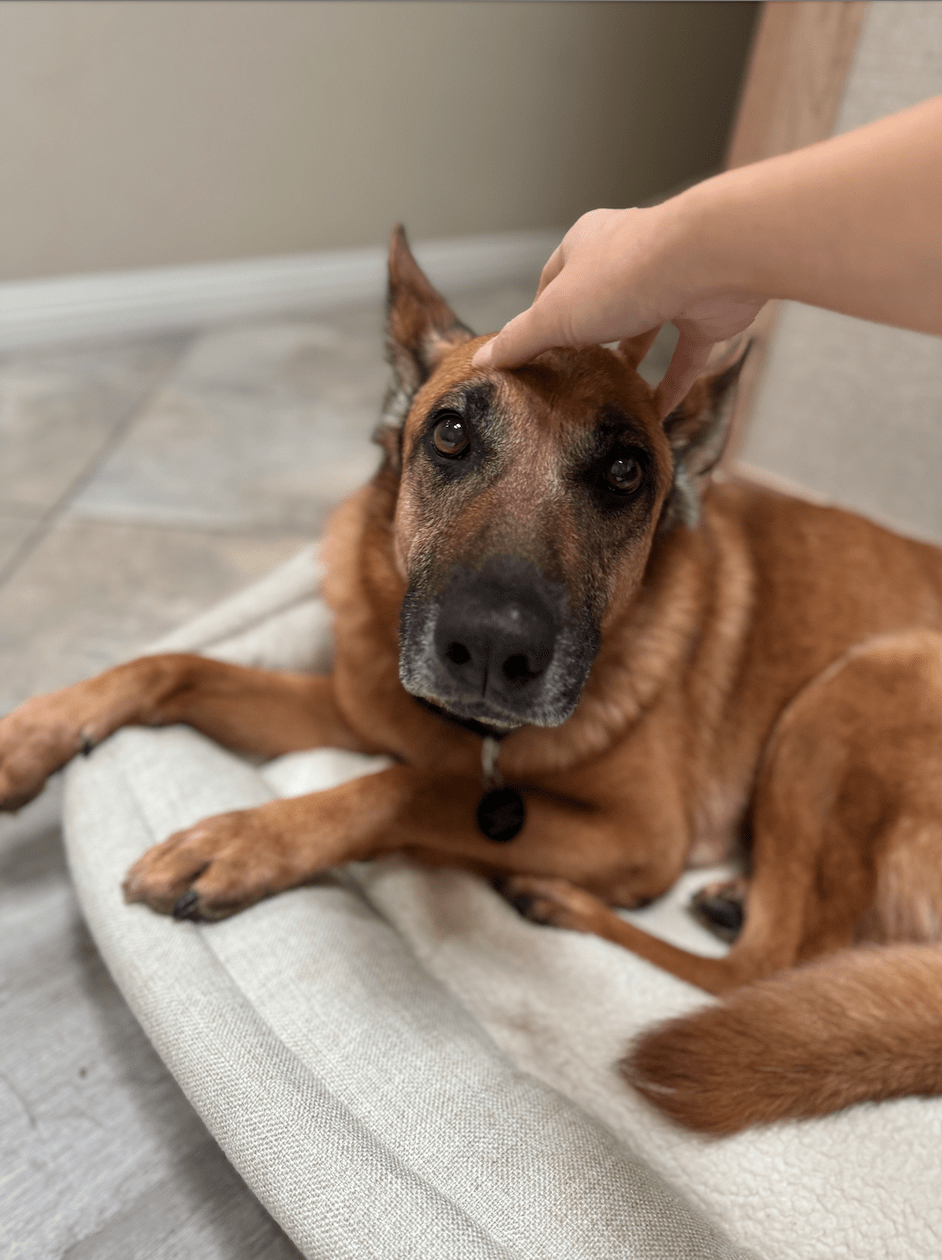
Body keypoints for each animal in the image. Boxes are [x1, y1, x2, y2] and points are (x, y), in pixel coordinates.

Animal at [5, 229, 942, 1144]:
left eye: (626, 473)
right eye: (450, 434)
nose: (493, 648)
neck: (474, 739)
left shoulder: (638, 836)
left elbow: (408, 787)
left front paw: (243, 838)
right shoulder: (350, 706)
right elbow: (175, 664)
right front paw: (34, 731)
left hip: (853, 689)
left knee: (771, 964)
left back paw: (561, 900)